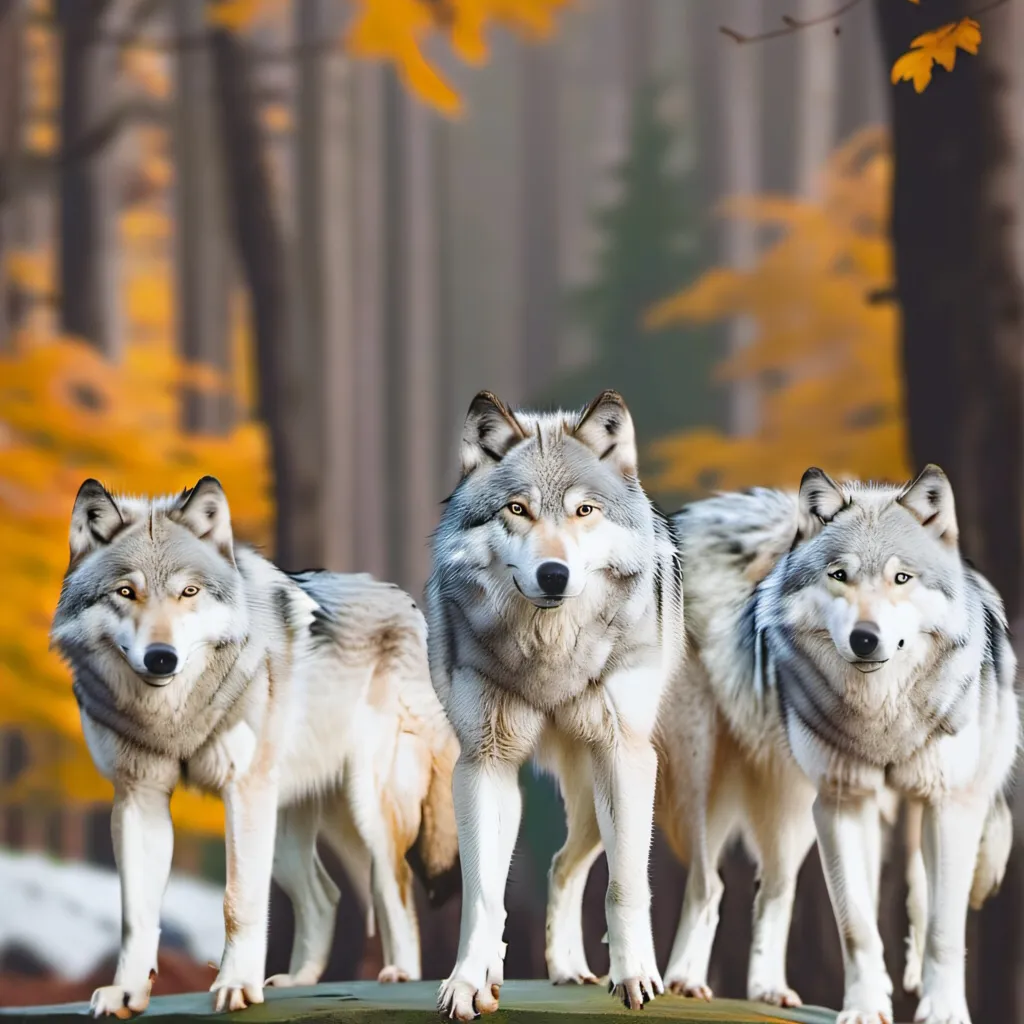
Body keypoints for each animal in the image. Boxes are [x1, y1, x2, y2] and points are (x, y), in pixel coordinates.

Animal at [50, 477, 460, 1017]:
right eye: (126, 592)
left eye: (189, 591)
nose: (161, 658)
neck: (174, 717)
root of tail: (407, 602)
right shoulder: (139, 799)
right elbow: (135, 913)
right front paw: (127, 992)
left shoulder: (242, 792)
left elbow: (237, 901)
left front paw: (237, 985)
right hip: (287, 828)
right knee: (326, 895)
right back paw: (299, 981)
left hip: (366, 803)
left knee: (395, 885)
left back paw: (399, 975)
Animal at [425, 390, 685, 1019]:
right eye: (517, 509)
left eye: (584, 511)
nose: (553, 574)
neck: (550, 658)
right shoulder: (483, 763)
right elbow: (483, 893)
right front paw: (467, 982)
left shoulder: (624, 757)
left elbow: (625, 886)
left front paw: (635, 977)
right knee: (555, 866)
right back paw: (537, 970)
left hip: (626, 790)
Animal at [630, 465, 1016, 1024]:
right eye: (839, 576)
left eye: (902, 579)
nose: (865, 639)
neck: (882, 715)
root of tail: (684, 519)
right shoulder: (842, 802)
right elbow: (858, 925)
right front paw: (865, 1008)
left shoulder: (947, 804)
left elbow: (939, 923)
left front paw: (940, 1009)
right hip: (709, 784)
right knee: (710, 885)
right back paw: (685, 981)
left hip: (793, 811)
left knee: (774, 889)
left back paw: (769, 990)